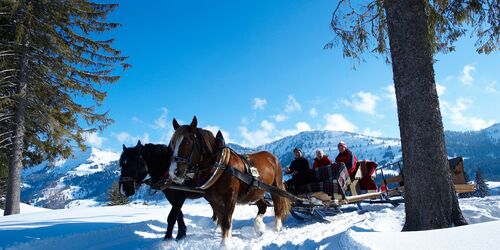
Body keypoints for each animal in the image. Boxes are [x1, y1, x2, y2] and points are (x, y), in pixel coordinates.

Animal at [169, 116, 290, 244]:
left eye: (188, 142)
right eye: (173, 143)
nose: (174, 172)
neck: (220, 165)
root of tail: (272, 157)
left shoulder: (230, 198)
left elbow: (226, 221)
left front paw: (225, 244)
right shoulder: (214, 201)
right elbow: (222, 220)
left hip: (275, 187)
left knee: (277, 206)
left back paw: (276, 228)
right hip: (255, 192)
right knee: (263, 206)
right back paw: (259, 227)